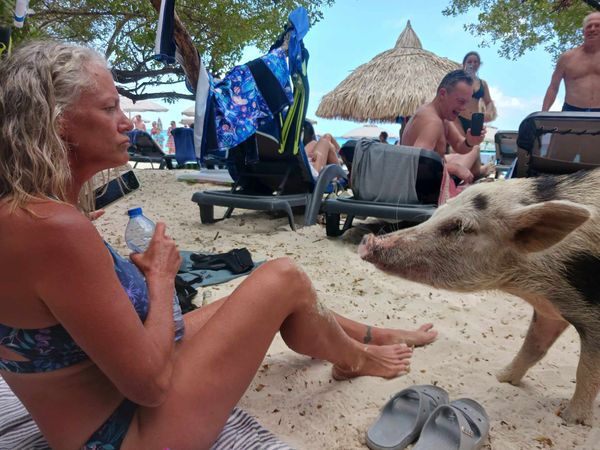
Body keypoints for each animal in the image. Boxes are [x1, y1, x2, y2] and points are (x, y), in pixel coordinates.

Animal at [358, 170, 596, 426]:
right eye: (437, 213)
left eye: (460, 227)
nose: (367, 240)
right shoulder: (549, 310)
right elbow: (533, 347)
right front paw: (501, 378)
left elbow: (586, 369)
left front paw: (571, 420)